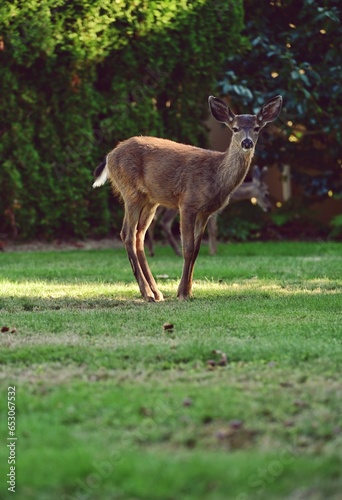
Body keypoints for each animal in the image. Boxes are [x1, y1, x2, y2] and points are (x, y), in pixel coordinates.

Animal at [92, 94, 282, 300]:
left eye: (257, 128)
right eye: (235, 128)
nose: (247, 143)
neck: (216, 176)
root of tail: (109, 156)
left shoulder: (205, 212)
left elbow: (197, 249)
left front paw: (188, 291)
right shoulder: (188, 203)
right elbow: (188, 248)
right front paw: (182, 293)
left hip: (150, 200)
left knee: (138, 235)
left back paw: (156, 292)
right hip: (131, 192)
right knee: (127, 233)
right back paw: (147, 293)